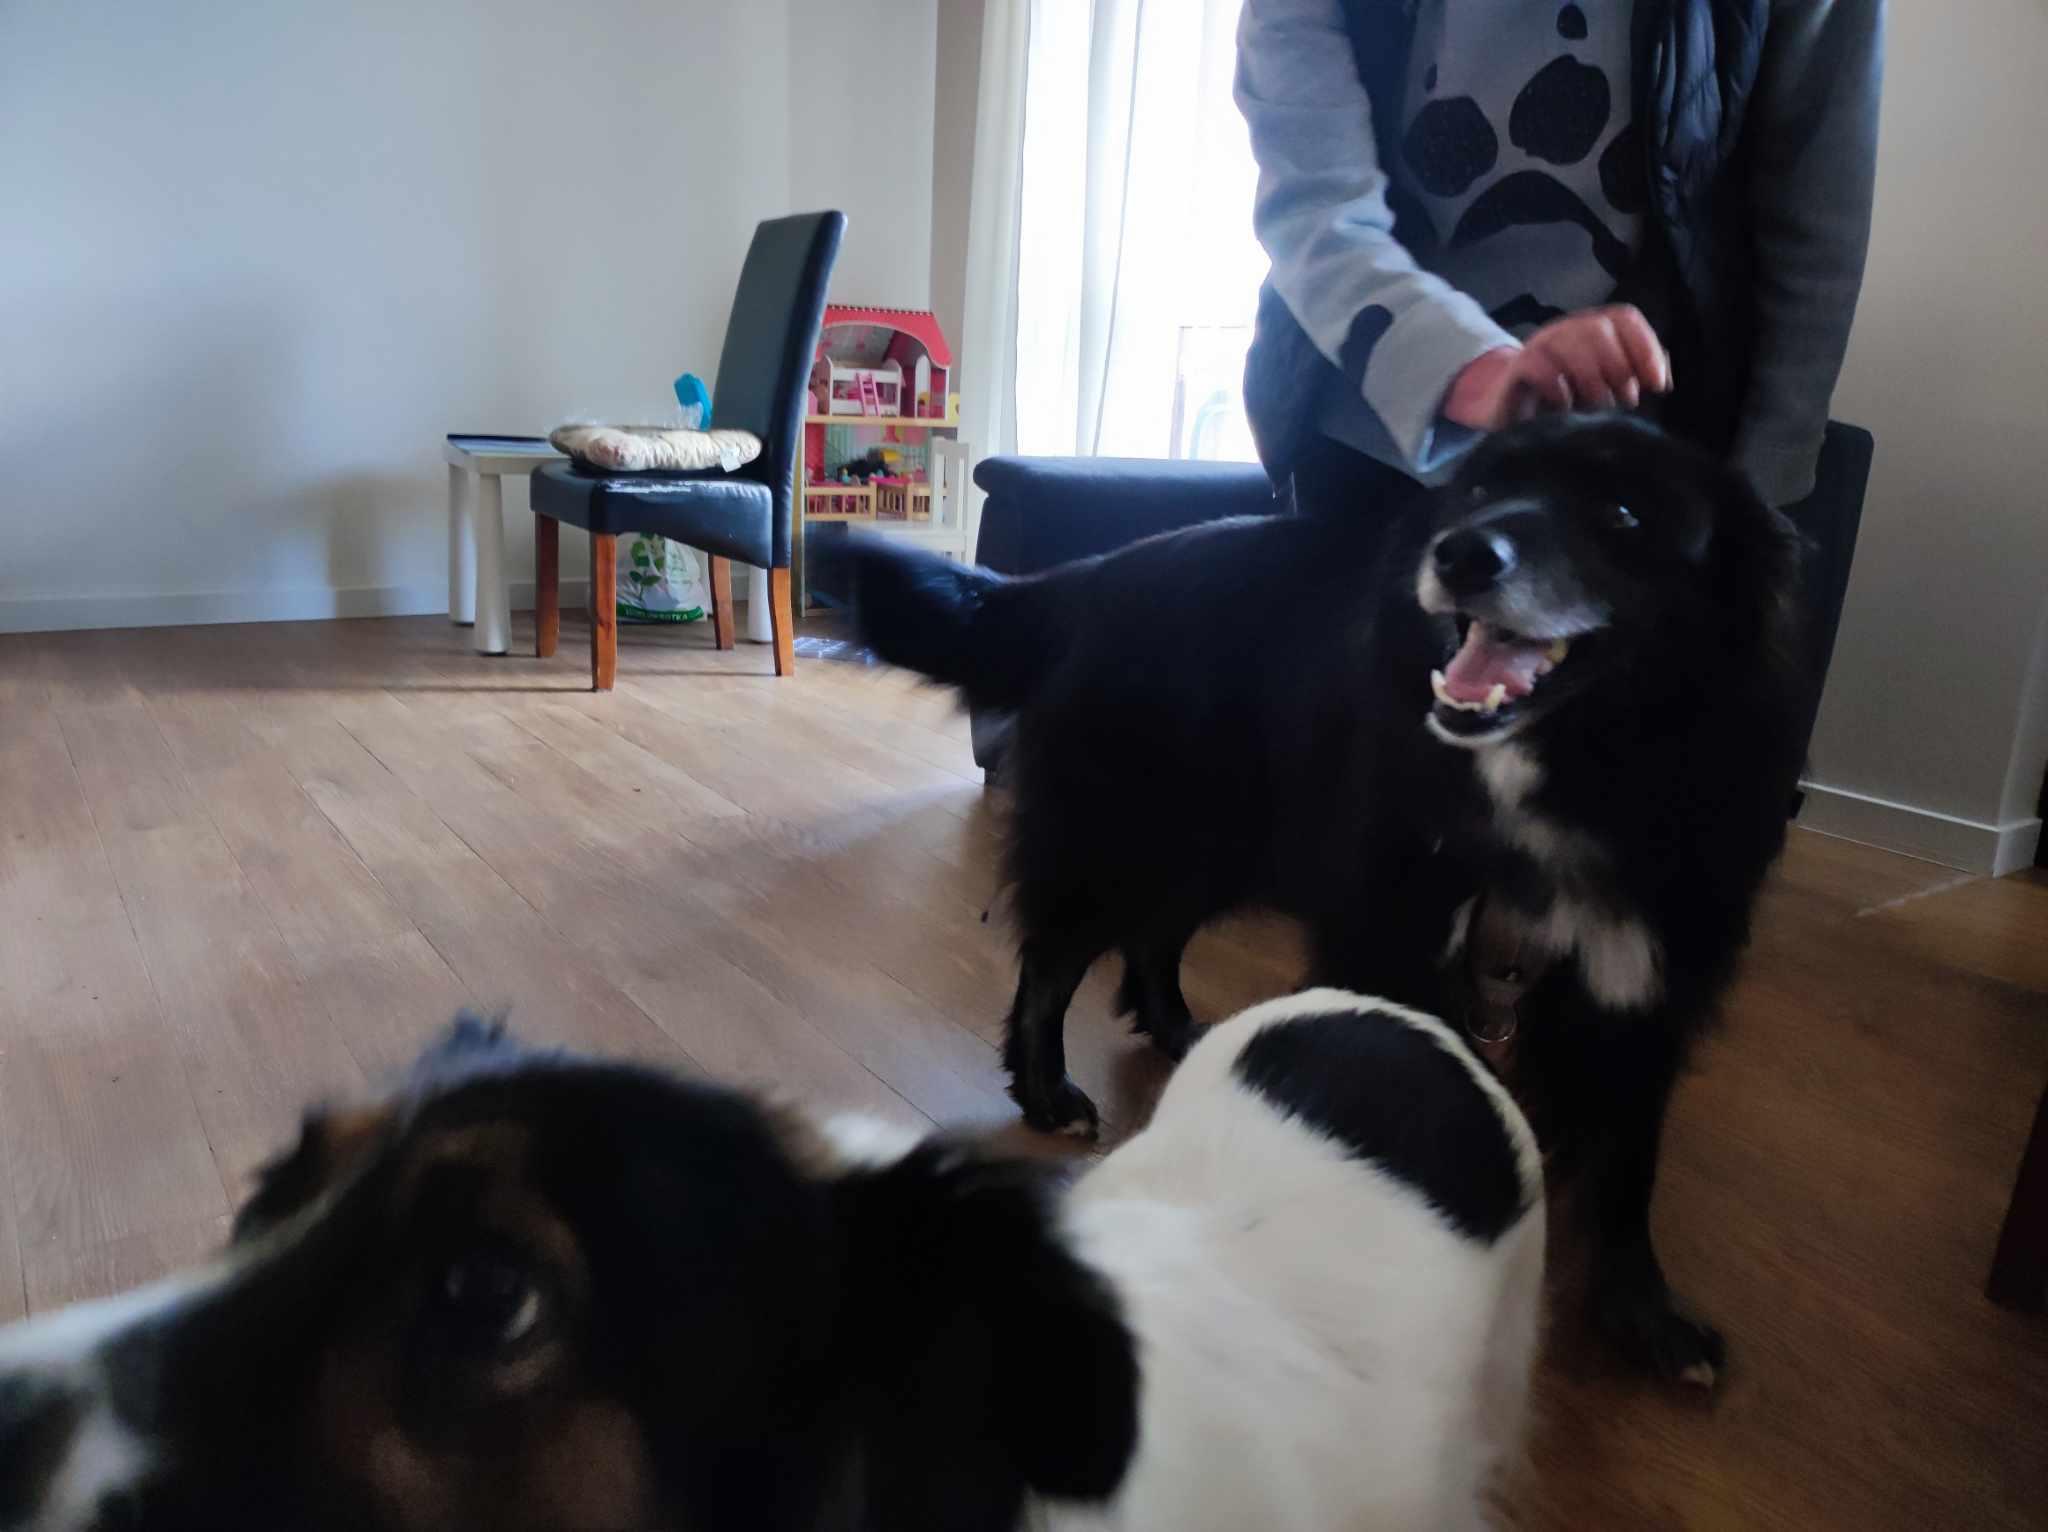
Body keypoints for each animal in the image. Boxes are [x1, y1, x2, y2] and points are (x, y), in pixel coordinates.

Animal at [840, 415, 1808, 1385]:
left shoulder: (1646, 984)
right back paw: (1048, 1090)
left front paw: (1644, 1312)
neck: (1571, 768)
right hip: (1131, 832)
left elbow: (1629, 1161)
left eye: (1624, 515)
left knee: (1154, 939)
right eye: (1481, 490)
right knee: (1054, 957)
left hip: (1223, 839)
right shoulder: (1394, 938)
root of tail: (1090, 577)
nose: (1459, 554)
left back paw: (1179, 1030)